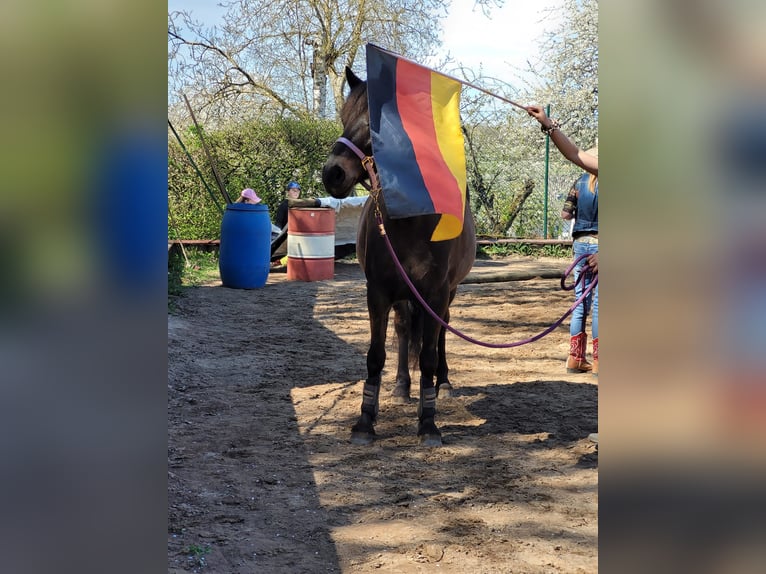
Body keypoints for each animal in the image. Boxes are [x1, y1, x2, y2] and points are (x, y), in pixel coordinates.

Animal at [320, 67, 476, 450]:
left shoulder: (435, 294)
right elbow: (376, 355)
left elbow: (430, 355)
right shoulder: (378, 291)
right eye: (344, 118)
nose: (332, 173)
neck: (413, 220)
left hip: (446, 295)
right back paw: (403, 385)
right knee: (405, 329)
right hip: (403, 296)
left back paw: (442, 384)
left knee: (441, 332)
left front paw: (429, 422)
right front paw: (365, 421)